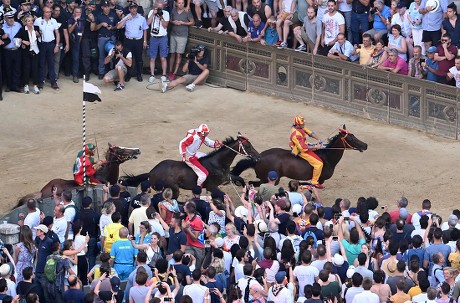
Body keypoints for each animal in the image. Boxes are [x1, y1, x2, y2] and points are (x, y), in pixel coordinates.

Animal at [124, 134, 260, 198]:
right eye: (247, 146)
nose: (258, 157)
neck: (218, 163)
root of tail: (151, 171)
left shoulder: (227, 177)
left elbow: (241, 180)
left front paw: (247, 194)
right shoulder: (211, 186)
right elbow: (223, 195)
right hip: (174, 188)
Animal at [232, 126, 368, 188]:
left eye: (353, 135)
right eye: (351, 138)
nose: (365, 145)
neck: (327, 158)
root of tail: (258, 158)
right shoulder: (319, 180)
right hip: (269, 179)